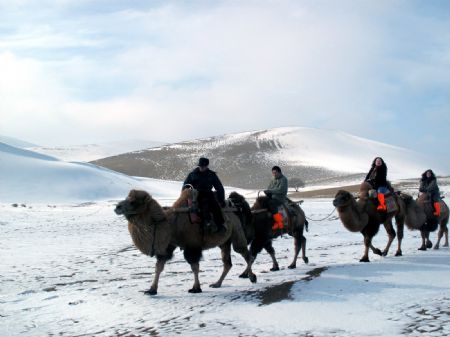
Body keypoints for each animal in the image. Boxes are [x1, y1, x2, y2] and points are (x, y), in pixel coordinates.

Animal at [113, 189, 256, 294]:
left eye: (133, 202)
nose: (117, 207)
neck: (172, 225)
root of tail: (236, 206)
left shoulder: (192, 246)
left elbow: (194, 267)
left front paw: (196, 288)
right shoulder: (169, 245)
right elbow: (159, 267)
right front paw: (151, 290)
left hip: (236, 232)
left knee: (246, 254)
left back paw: (251, 277)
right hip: (224, 242)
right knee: (228, 263)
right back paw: (217, 283)